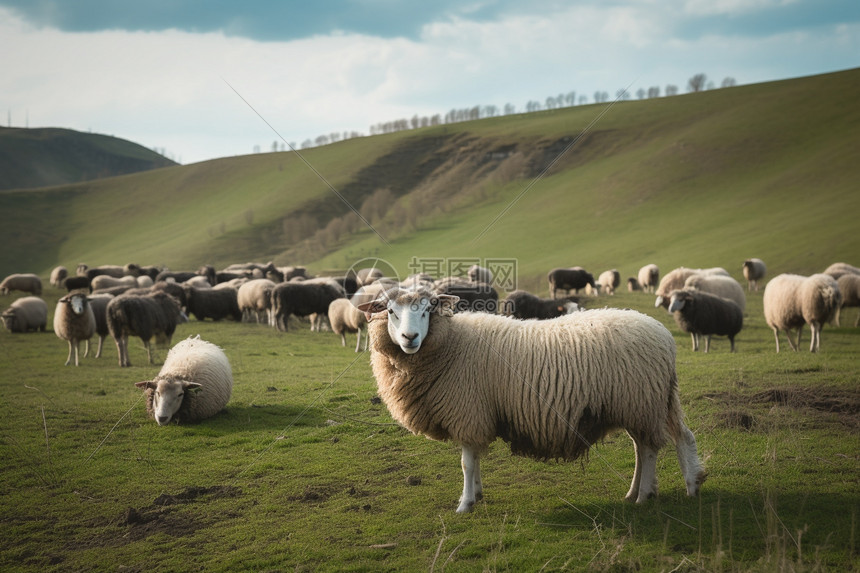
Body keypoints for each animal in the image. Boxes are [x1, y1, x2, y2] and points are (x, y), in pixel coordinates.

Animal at [360, 288, 704, 512]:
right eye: (390, 311)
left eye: (428, 309)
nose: (410, 338)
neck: (452, 345)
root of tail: (663, 335)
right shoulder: (476, 414)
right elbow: (475, 460)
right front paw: (478, 494)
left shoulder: (468, 412)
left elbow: (467, 463)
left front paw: (465, 503)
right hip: (642, 402)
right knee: (657, 443)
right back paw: (652, 489)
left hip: (641, 401)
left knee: (650, 448)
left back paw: (647, 494)